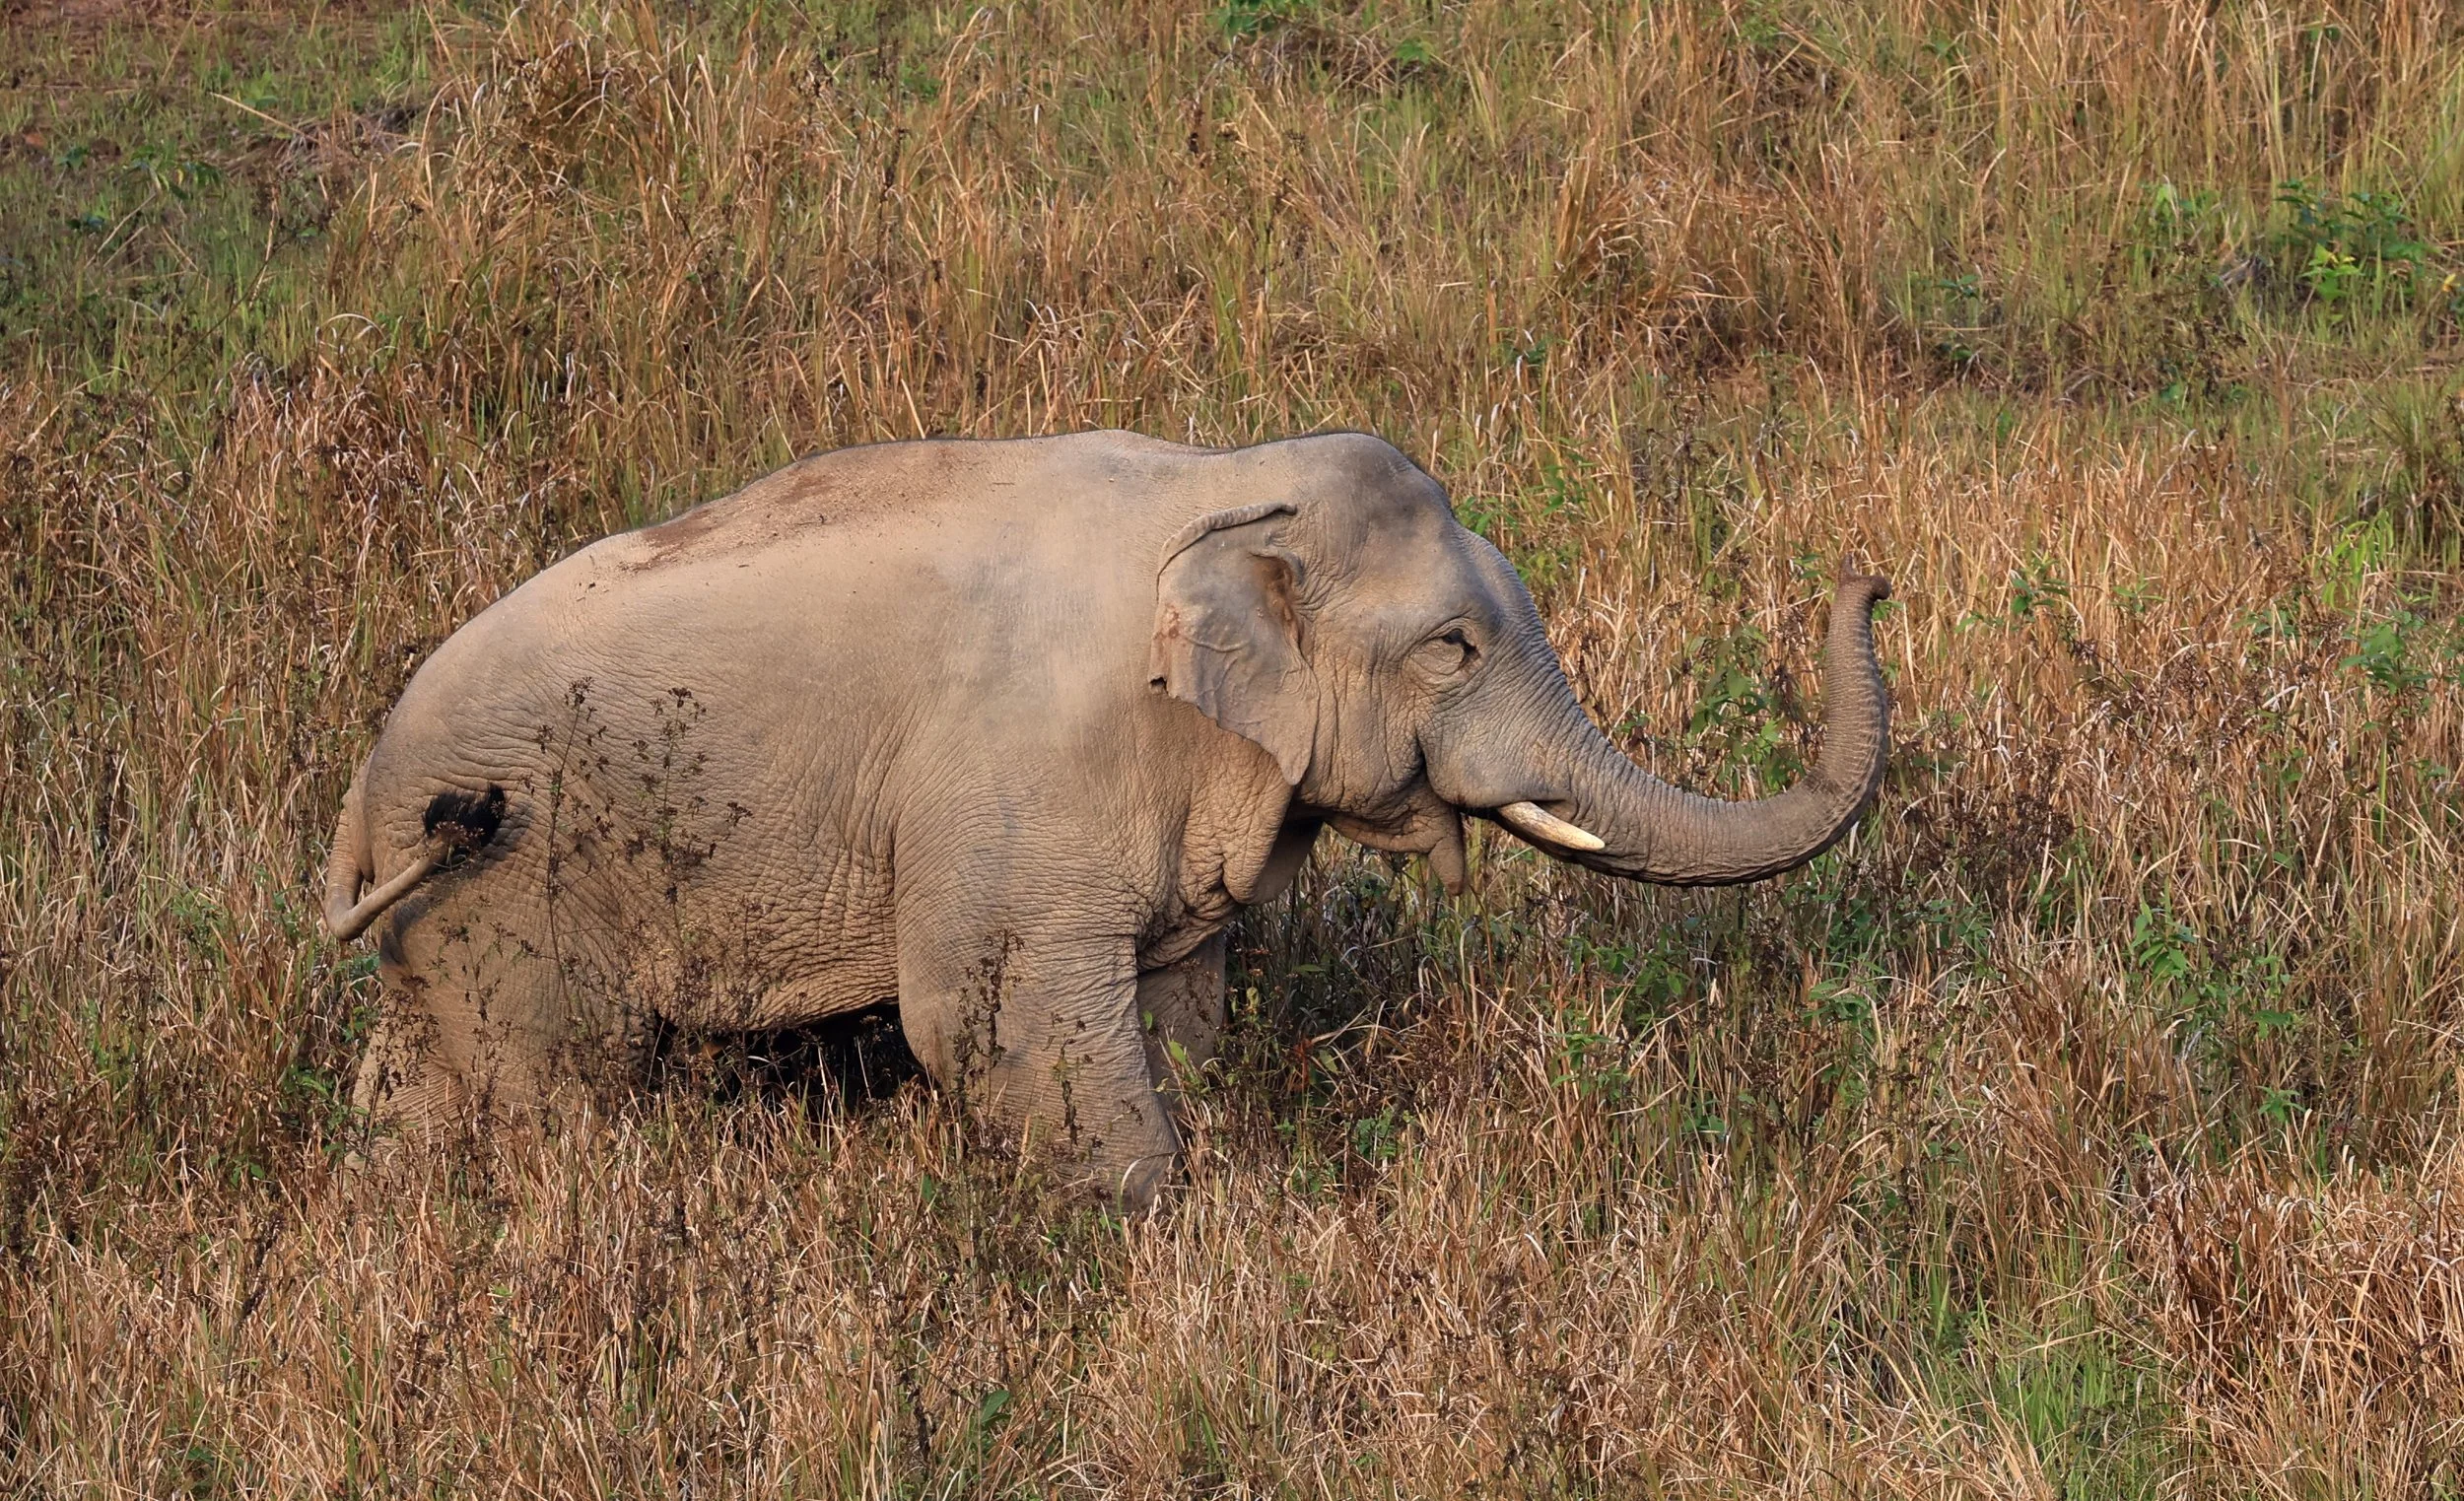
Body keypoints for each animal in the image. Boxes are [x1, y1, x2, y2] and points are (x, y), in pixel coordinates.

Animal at [322, 430, 1891, 1205]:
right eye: (1451, 648)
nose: (1867, 575)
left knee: (416, 1088)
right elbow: (985, 1014)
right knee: (552, 1094)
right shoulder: (1026, 775)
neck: (1219, 484)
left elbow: (1177, 994)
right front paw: (1161, 1223)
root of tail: (365, 795)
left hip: (446, 935)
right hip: (512, 892)